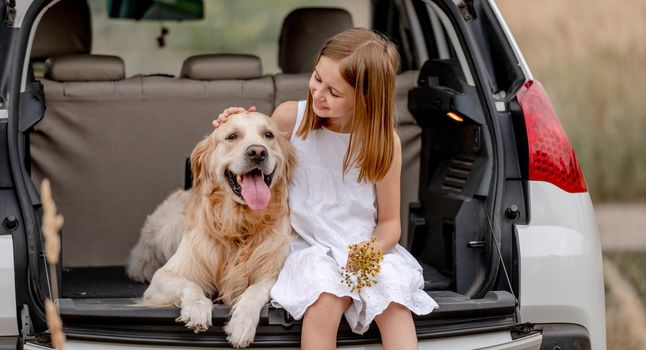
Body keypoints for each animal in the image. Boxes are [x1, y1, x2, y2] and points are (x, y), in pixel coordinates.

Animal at [126, 112, 296, 348]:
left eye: (268, 135)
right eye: (232, 136)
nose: (257, 152)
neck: (239, 224)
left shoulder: (274, 273)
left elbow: (255, 291)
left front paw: (242, 323)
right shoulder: (165, 276)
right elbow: (190, 285)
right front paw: (197, 308)